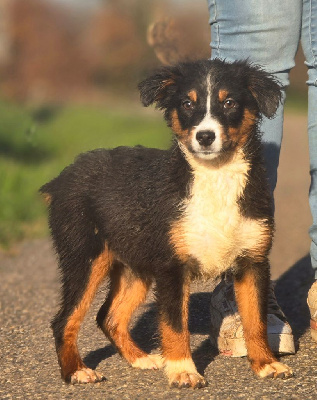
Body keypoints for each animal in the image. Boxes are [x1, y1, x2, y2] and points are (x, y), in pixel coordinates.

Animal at [40, 58, 292, 388]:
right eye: (187, 103)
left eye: (229, 103)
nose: (205, 137)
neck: (215, 176)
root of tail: (60, 179)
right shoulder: (173, 266)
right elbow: (174, 324)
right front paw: (183, 371)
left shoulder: (252, 260)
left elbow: (255, 319)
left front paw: (265, 364)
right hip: (85, 257)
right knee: (65, 319)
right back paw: (77, 371)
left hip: (136, 263)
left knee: (109, 316)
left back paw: (141, 359)